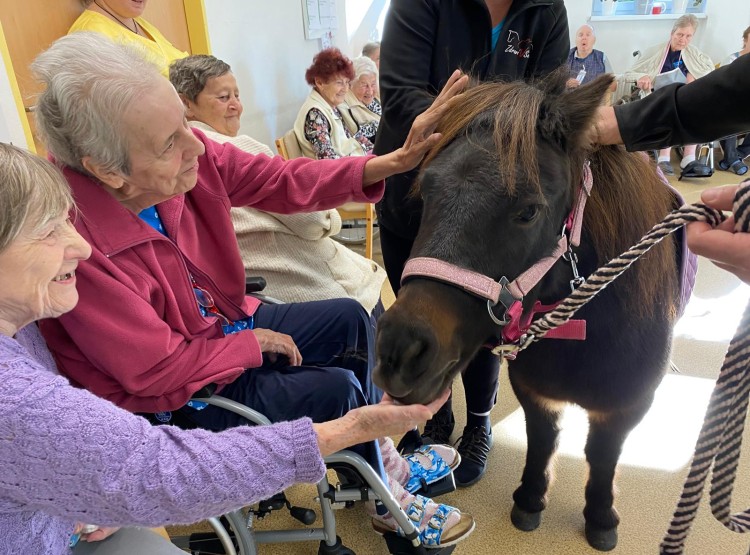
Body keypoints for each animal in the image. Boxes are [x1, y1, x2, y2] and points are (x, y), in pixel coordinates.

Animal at [376, 73, 680, 552]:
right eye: (425, 192)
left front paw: (600, 516)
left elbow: (602, 455)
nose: (399, 352)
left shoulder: (627, 405)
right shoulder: (535, 392)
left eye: (529, 211)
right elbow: (542, 441)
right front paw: (531, 500)